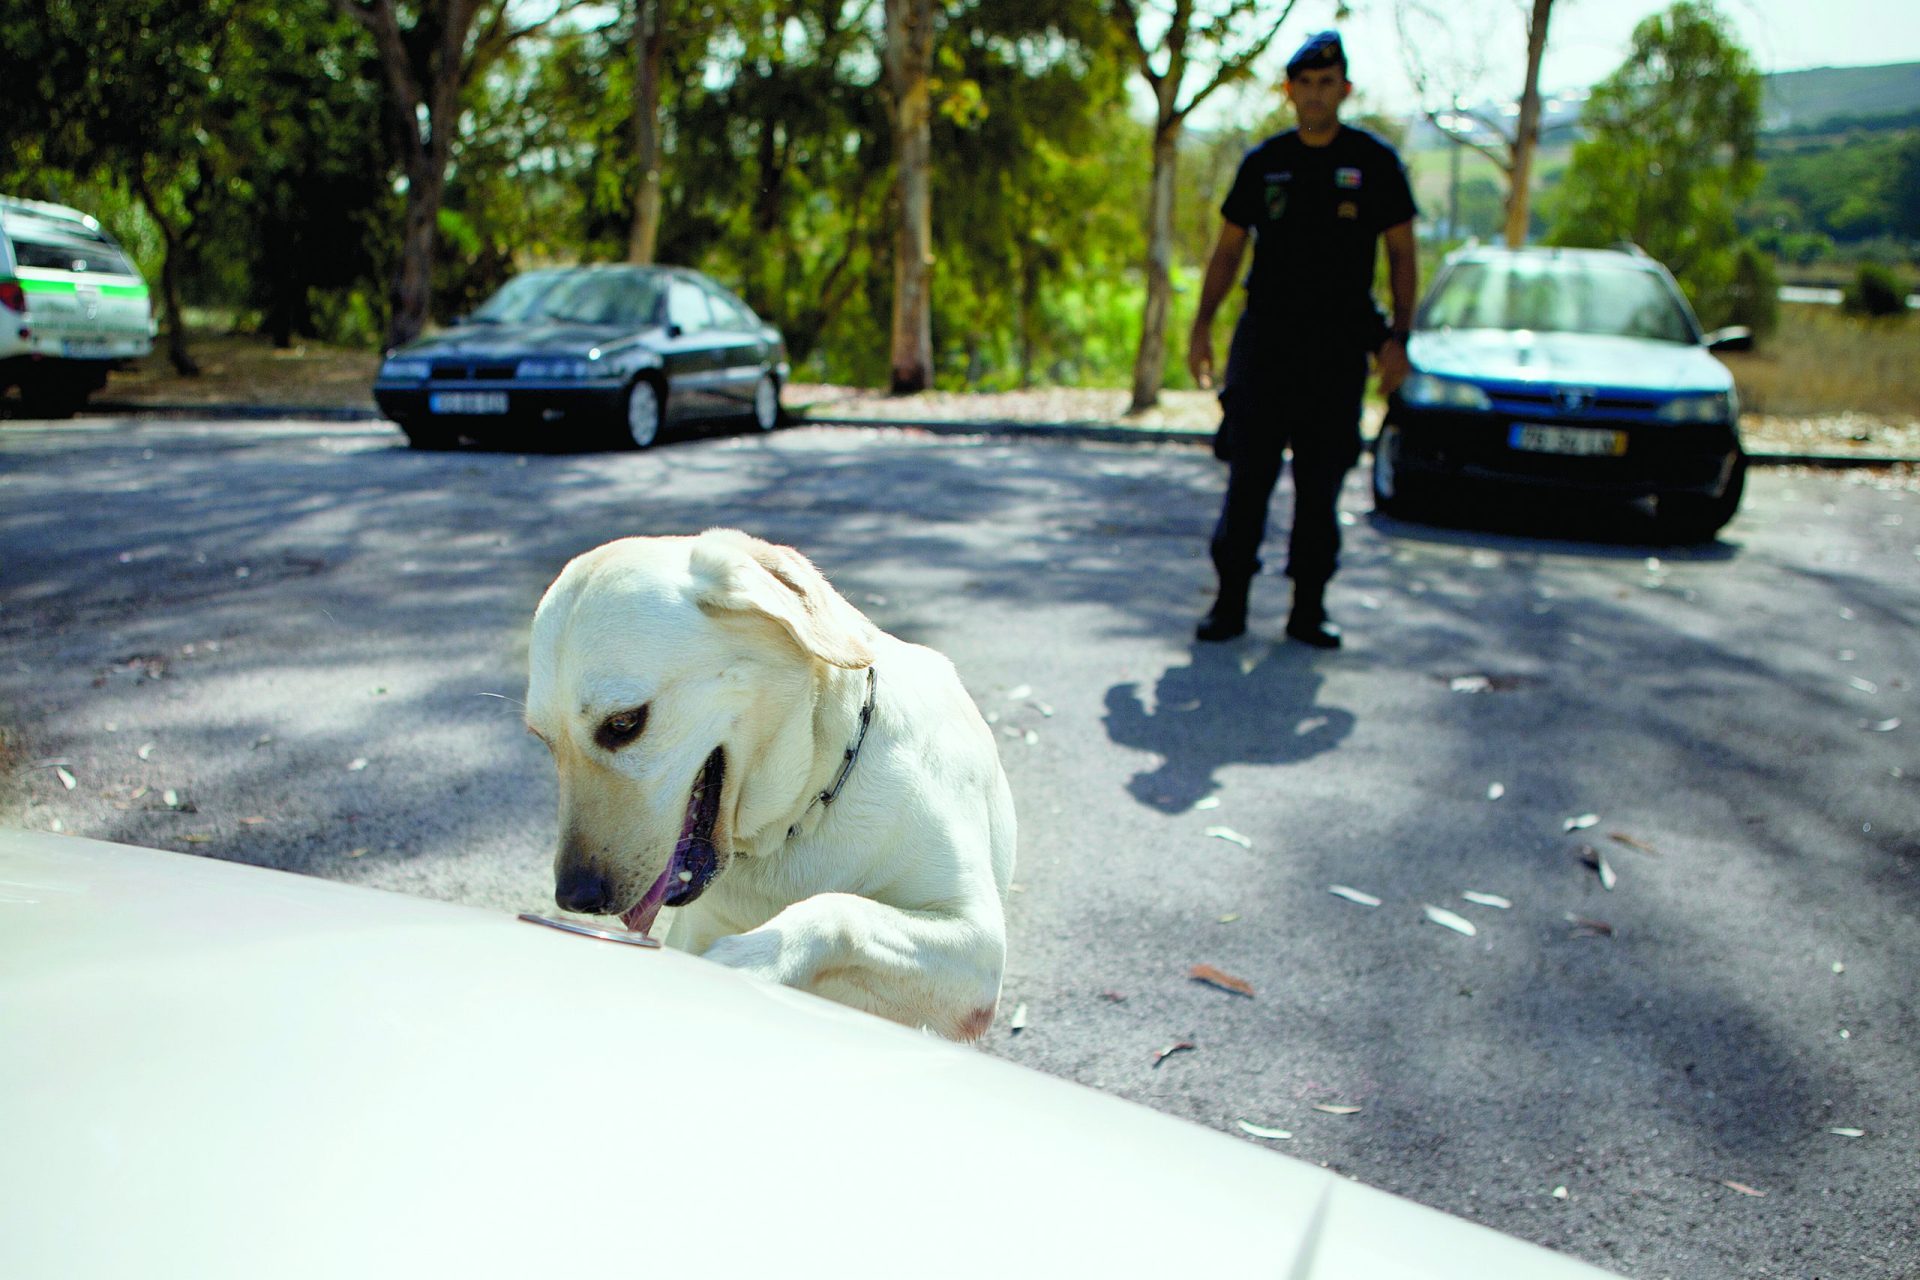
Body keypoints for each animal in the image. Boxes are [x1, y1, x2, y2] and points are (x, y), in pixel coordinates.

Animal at [518, 529, 1013, 1043]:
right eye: (544, 740)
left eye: (623, 723)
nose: (575, 898)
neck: (802, 817)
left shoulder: (977, 946)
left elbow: (840, 910)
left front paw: (749, 959)